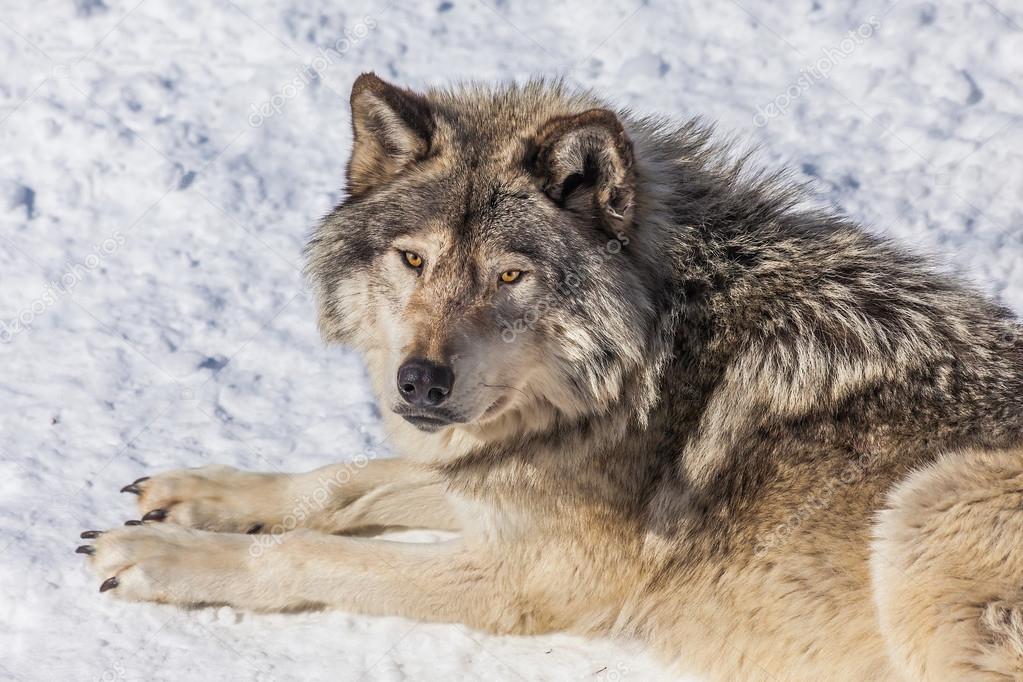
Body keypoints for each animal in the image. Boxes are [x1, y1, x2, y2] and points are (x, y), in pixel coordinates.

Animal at [78, 73, 1023, 681]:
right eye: (413, 260)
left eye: (508, 276)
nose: (418, 383)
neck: (651, 359)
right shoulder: (493, 483)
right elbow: (342, 481)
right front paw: (204, 495)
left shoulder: (526, 579)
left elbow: (310, 551)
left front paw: (166, 557)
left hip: (927, 502)